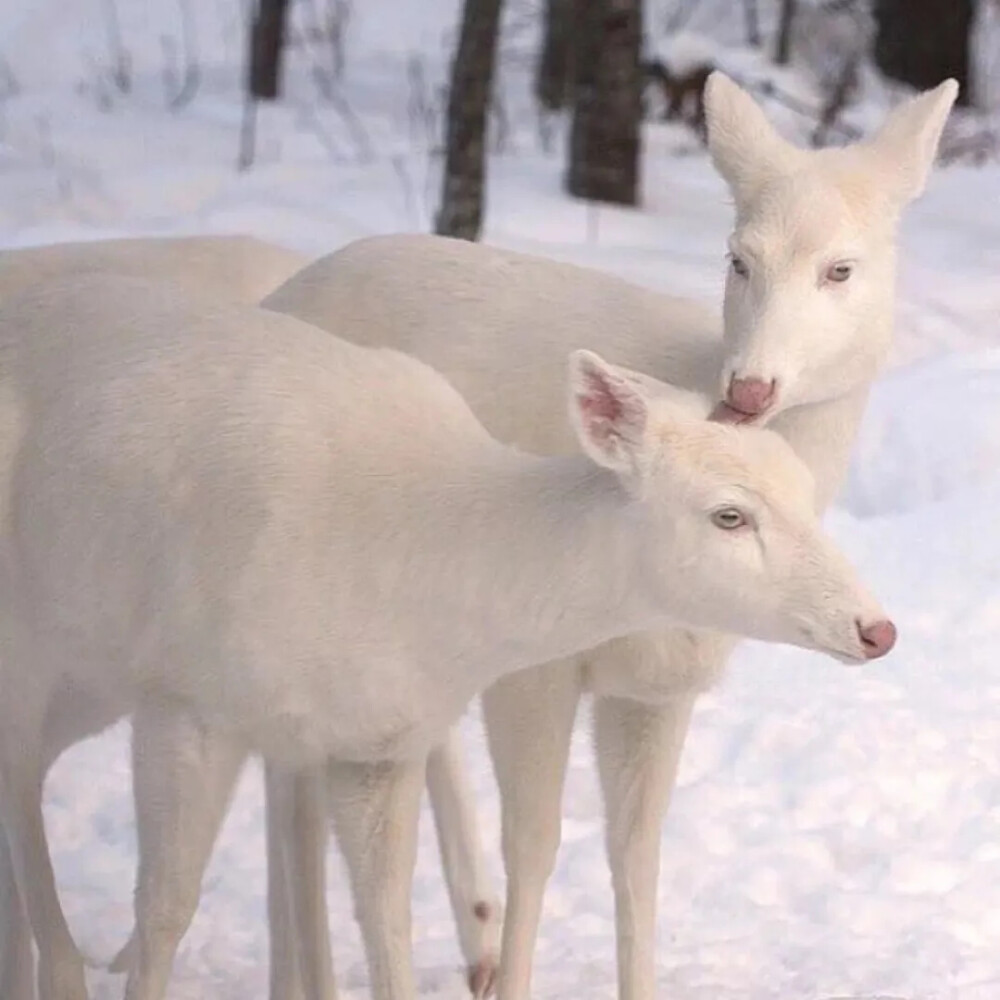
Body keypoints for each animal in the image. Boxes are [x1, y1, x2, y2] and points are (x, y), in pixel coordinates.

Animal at [0, 270, 896, 1000]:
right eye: (728, 515)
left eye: (802, 487)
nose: (877, 628)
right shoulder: (184, 695)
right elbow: (164, 913)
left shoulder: (377, 741)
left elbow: (385, 920)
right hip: (45, 650)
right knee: (25, 784)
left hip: (89, 679)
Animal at [254, 72, 956, 1000]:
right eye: (738, 257)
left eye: (841, 268)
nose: (750, 388)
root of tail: (276, 294)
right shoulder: (535, 665)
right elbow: (537, 843)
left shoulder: (661, 684)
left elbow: (637, 854)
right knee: (289, 785)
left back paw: (466, 931)